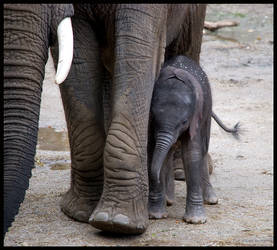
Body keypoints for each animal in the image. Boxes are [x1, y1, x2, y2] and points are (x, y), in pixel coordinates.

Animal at [148, 56, 238, 225]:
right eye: (155, 118)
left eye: (184, 122)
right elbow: (152, 149)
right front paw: (156, 215)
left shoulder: (197, 113)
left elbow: (192, 153)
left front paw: (195, 220)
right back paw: (169, 199)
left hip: (207, 108)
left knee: (203, 147)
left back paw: (210, 199)